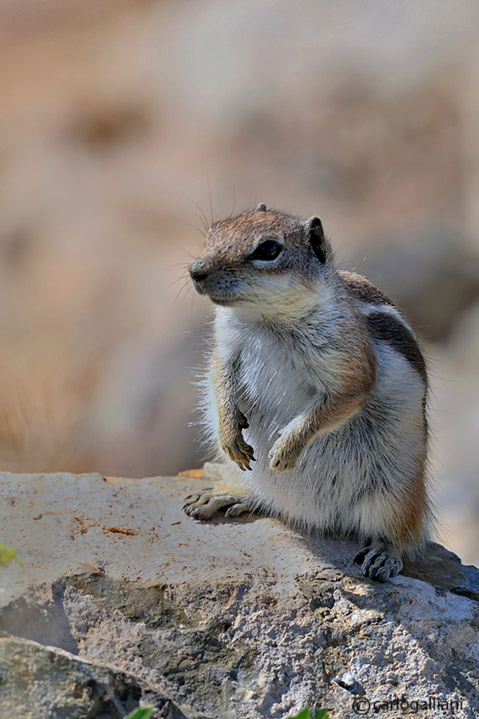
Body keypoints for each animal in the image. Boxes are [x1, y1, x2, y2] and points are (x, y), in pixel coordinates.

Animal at [183, 205, 432, 584]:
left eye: (269, 249)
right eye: (214, 230)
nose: (196, 270)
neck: (264, 319)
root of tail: (316, 516)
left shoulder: (350, 364)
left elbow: (340, 399)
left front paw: (285, 448)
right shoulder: (225, 347)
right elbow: (219, 378)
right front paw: (230, 435)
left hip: (396, 491)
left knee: (403, 533)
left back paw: (384, 556)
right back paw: (228, 494)